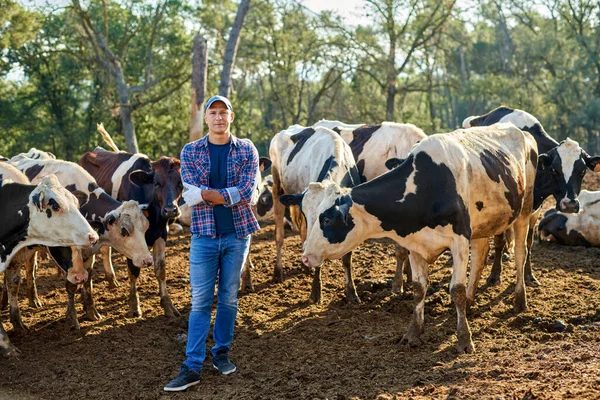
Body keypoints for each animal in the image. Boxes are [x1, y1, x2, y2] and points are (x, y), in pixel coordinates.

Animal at [79, 125, 183, 318]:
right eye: (156, 183)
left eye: (181, 183)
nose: (170, 210)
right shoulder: (128, 236)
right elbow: (133, 270)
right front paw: (134, 306)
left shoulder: (161, 233)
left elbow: (161, 269)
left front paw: (168, 305)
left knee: (105, 249)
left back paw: (111, 280)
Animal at [300, 123, 540, 352]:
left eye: (327, 219)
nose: (305, 256)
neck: (425, 186)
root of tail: (522, 132)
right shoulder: (415, 243)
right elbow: (418, 288)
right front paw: (413, 334)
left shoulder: (459, 240)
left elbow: (457, 290)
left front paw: (464, 339)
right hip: (481, 224)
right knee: (480, 256)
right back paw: (472, 302)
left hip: (524, 211)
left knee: (520, 254)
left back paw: (520, 300)